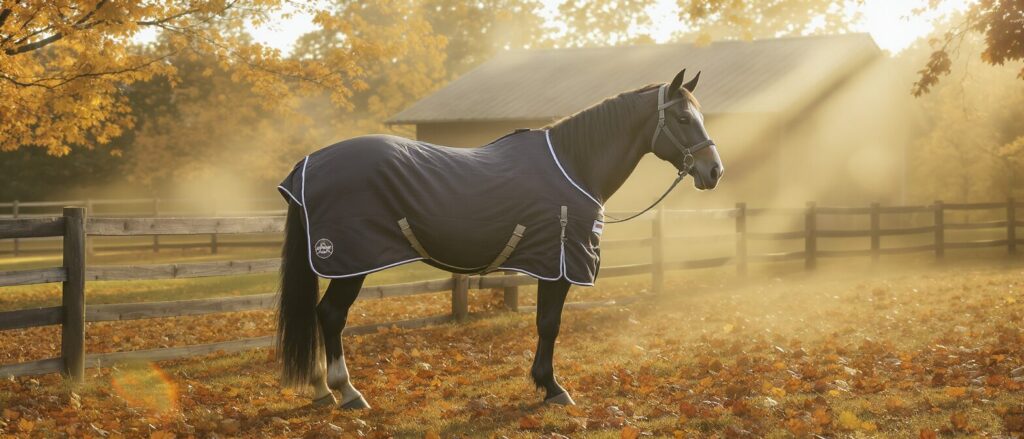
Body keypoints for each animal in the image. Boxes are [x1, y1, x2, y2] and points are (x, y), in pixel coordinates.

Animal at [275, 69, 723, 408]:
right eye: (683, 119)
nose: (714, 170)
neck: (575, 164)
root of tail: (309, 163)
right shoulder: (559, 264)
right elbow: (549, 324)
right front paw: (551, 387)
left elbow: (546, 324)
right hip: (351, 261)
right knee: (331, 314)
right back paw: (347, 391)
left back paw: (321, 388)